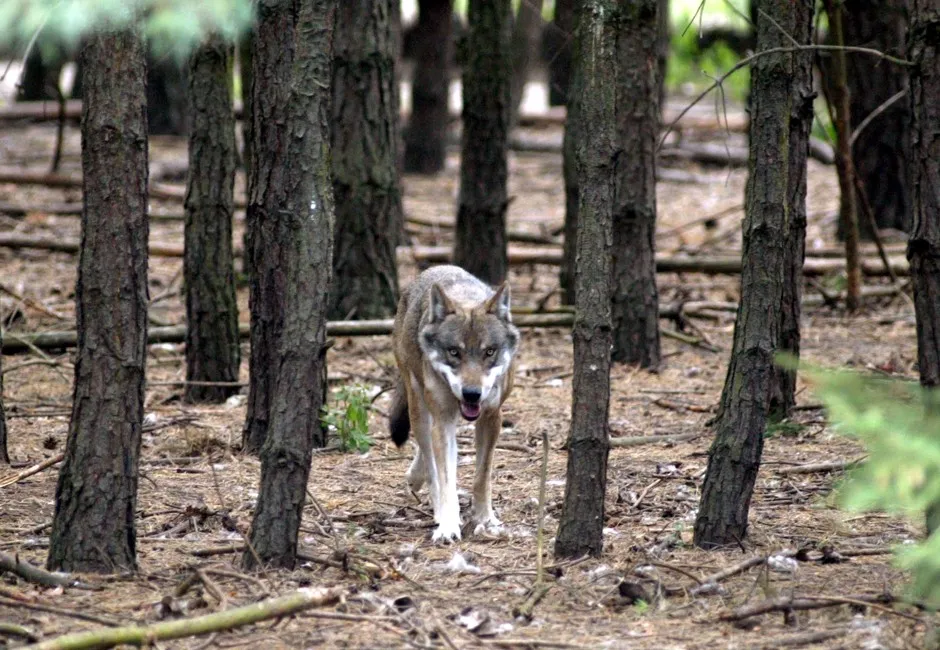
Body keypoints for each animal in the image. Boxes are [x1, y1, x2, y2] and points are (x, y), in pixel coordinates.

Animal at [389, 265, 520, 542]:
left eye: (489, 352)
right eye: (454, 352)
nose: (472, 394)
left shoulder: (492, 418)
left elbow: (482, 477)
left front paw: (485, 519)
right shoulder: (444, 421)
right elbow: (445, 479)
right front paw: (448, 524)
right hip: (418, 408)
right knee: (430, 462)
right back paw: (435, 506)